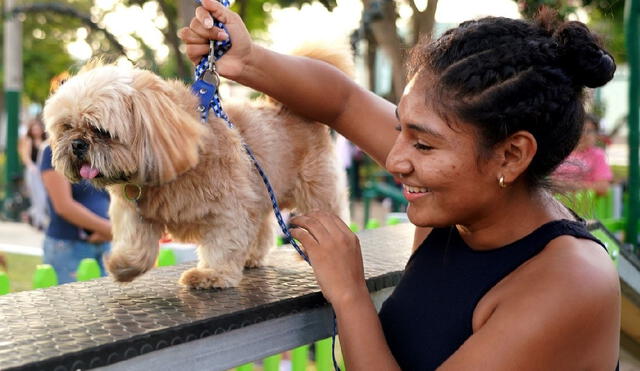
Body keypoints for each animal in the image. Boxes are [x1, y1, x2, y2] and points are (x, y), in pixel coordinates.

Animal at [42, 46, 352, 290]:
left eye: (100, 131)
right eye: (66, 128)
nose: (77, 144)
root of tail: (288, 109)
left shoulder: (229, 209)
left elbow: (223, 243)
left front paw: (212, 275)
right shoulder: (135, 211)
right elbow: (138, 244)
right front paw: (124, 266)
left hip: (315, 191)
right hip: (260, 191)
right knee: (262, 229)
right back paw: (252, 257)